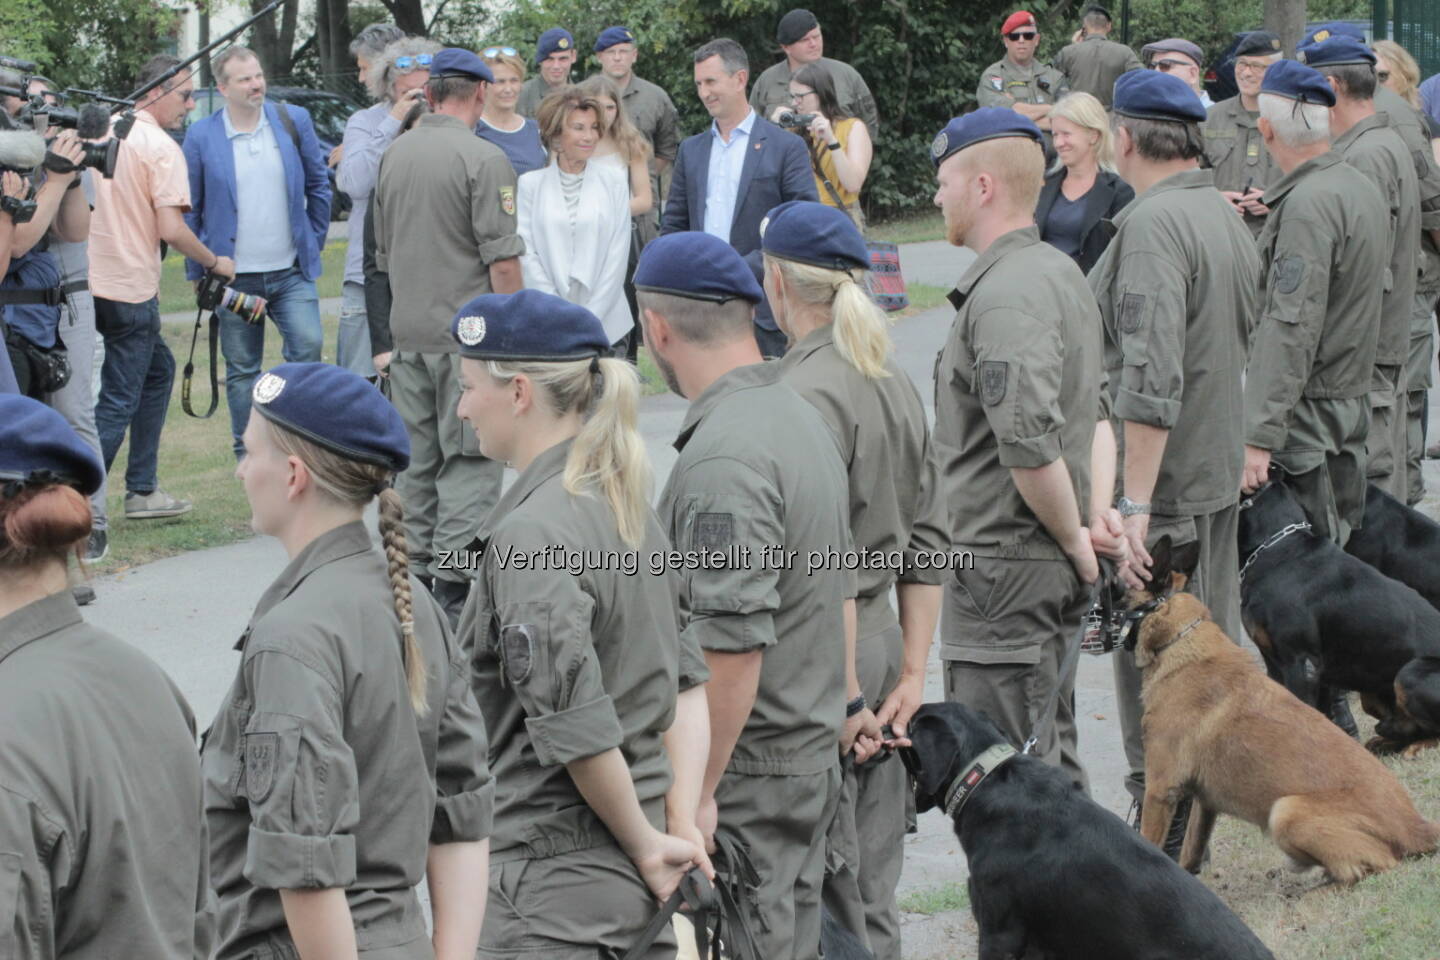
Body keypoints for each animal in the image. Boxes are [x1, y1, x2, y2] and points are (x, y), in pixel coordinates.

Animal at [1128, 541, 1434, 886]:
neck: (1178, 638)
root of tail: (1416, 825)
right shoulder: (1204, 802)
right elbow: (1191, 850)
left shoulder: (1159, 791)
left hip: (1286, 811)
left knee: (1372, 866)